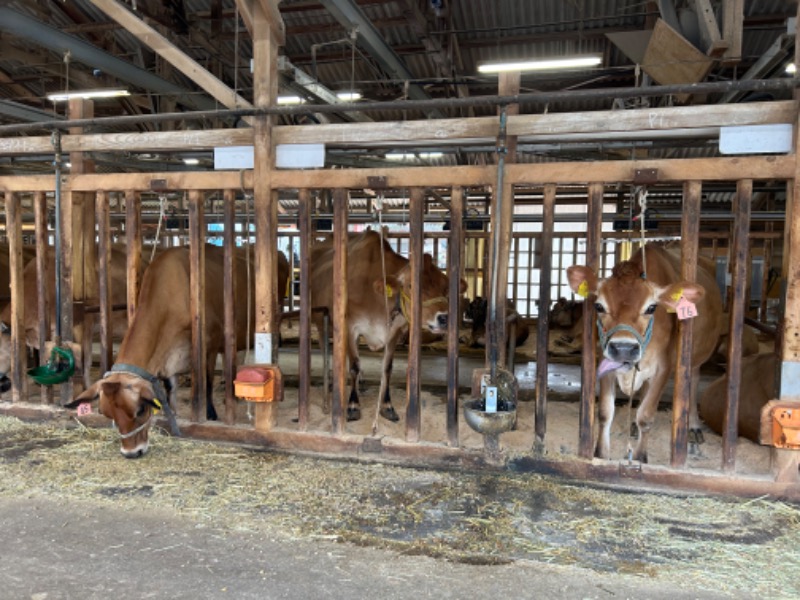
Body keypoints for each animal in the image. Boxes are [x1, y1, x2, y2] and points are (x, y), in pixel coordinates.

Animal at [65, 245, 288, 460]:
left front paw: (210, 414)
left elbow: (206, 383)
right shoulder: (167, 361)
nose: (131, 452)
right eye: (107, 414)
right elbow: (170, 389)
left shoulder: (209, 344)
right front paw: (173, 413)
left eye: (140, 410)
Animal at [310, 227, 466, 424]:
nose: (444, 318)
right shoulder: (349, 327)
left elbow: (387, 369)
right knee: (325, 348)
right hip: (319, 318)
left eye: (446, 288)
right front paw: (353, 405)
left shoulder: (394, 331)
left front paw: (386, 405)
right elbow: (353, 366)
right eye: (410, 286)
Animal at [568, 245, 724, 464]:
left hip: (696, 357)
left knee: (693, 382)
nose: (623, 348)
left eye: (651, 307)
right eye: (599, 306)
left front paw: (641, 457)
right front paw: (601, 454)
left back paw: (693, 425)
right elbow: (605, 412)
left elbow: (647, 415)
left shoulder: (663, 368)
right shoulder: (605, 362)